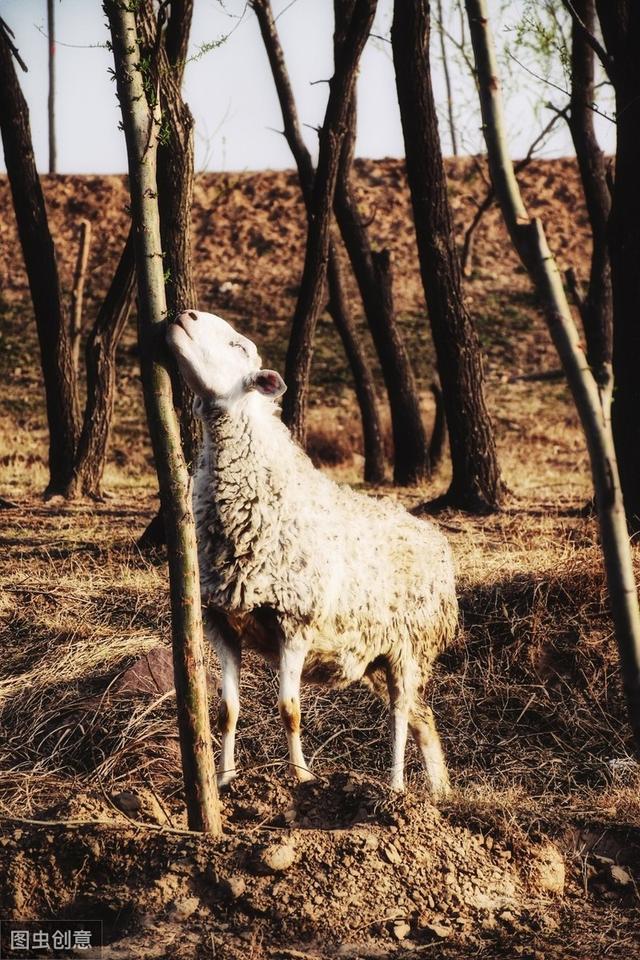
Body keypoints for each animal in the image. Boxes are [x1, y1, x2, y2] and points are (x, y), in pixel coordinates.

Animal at [165, 310, 456, 796]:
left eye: (237, 345)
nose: (182, 315)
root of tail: (434, 539)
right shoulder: (223, 622)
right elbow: (227, 712)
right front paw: (225, 779)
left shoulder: (294, 622)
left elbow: (290, 709)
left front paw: (300, 776)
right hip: (378, 656)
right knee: (422, 716)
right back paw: (438, 789)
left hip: (409, 647)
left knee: (399, 715)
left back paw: (395, 786)